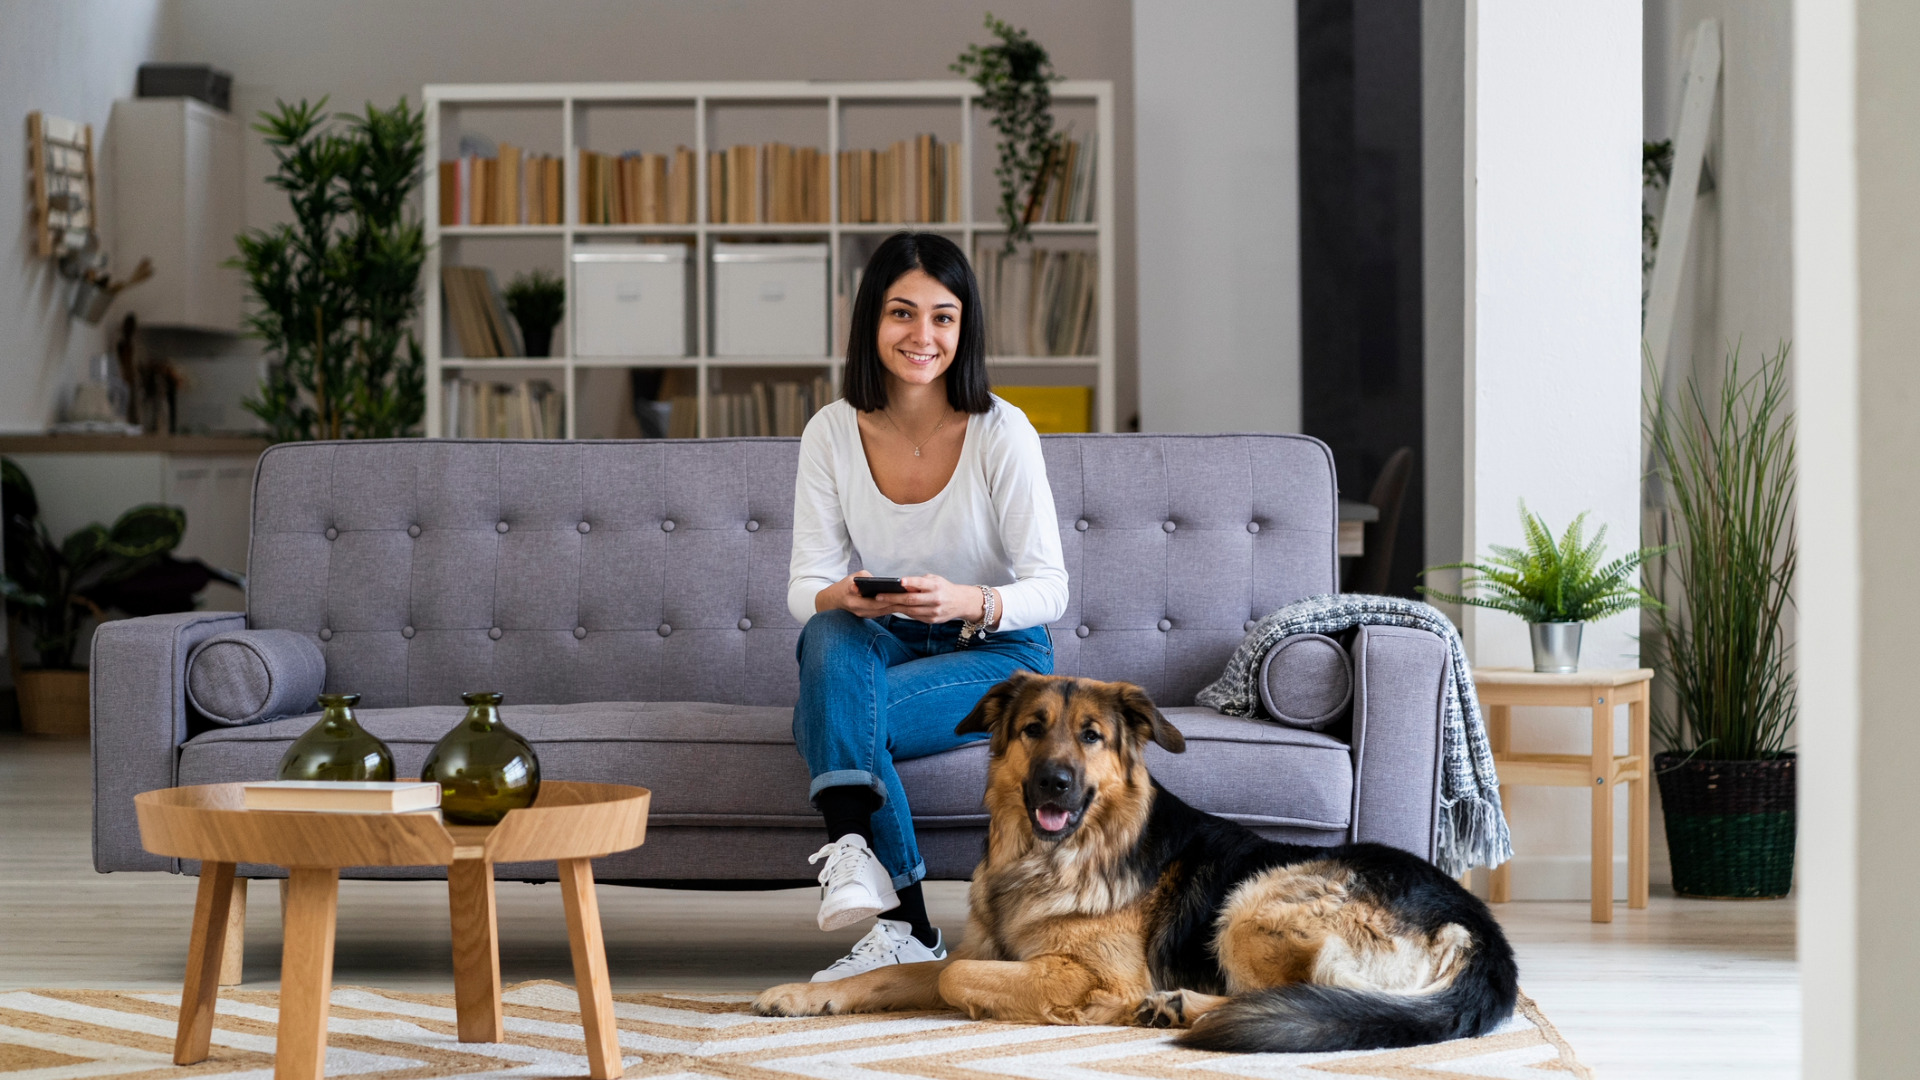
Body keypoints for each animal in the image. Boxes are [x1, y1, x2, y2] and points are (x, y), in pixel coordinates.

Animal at [756, 668, 1520, 1045]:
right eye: (1033, 730)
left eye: (1091, 736)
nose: (1054, 783)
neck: (1052, 859)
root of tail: (1486, 936)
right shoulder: (992, 950)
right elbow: (897, 976)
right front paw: (804, 996)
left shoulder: (1078, 968)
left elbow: (950, 978)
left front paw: (1083, 1009)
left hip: (1256, 901)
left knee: (1304, 994)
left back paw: (1168, 1008)